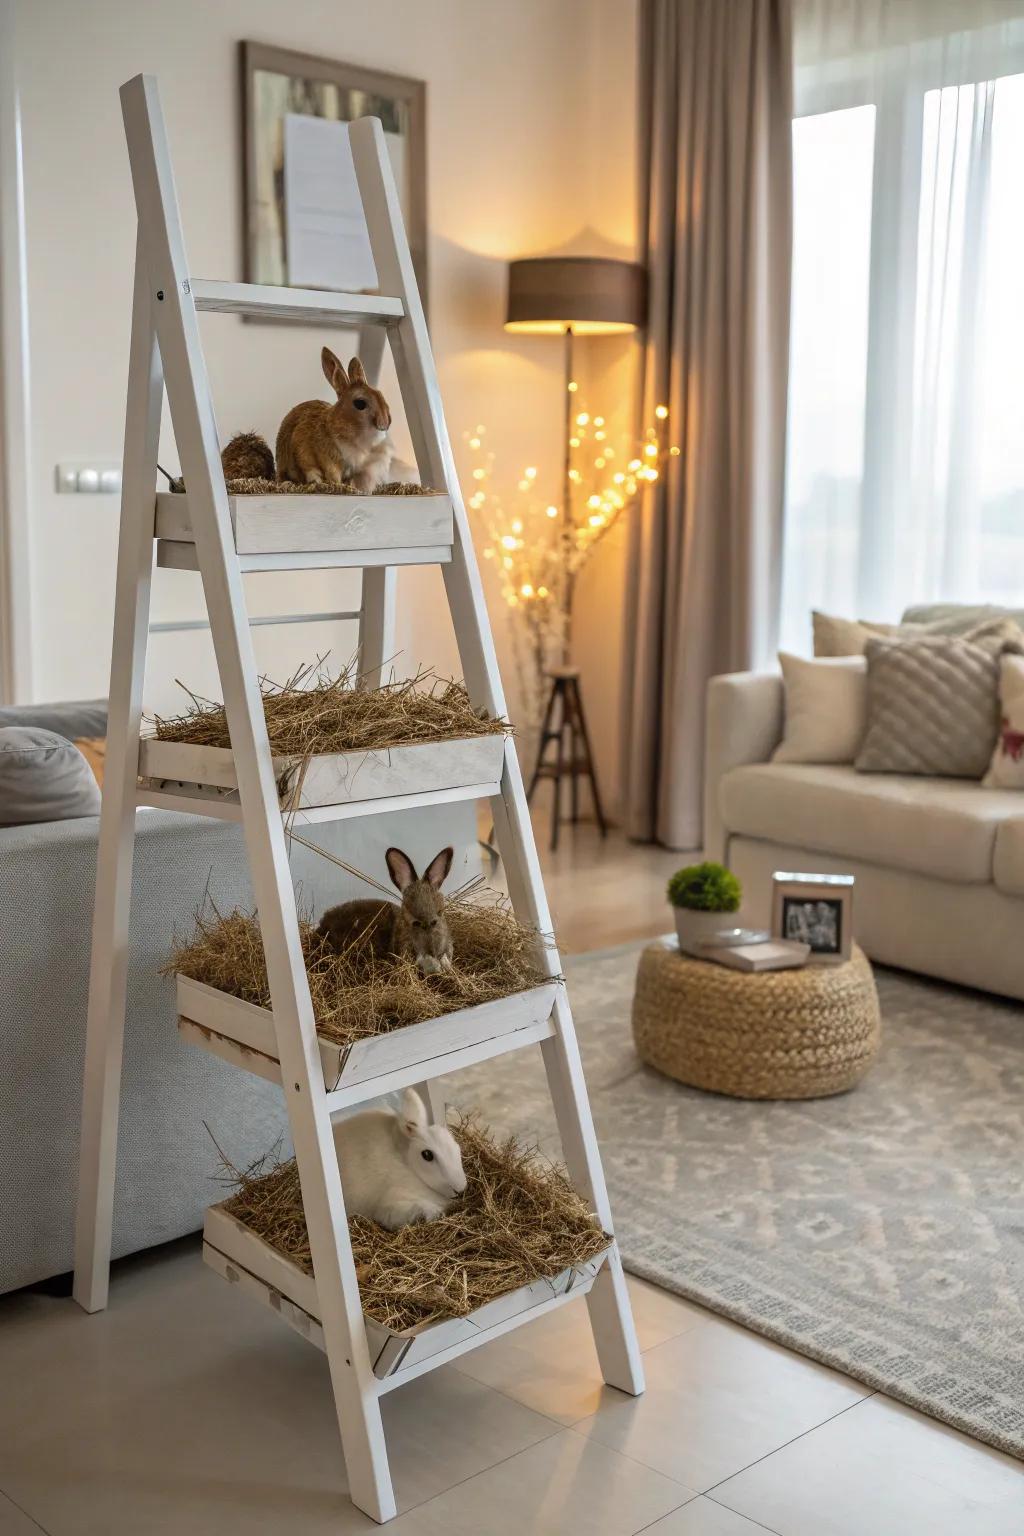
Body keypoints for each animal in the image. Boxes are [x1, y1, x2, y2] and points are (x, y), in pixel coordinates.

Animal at [274, 348, 396, 491]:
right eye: (360, 404)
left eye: (380, 394)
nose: (386, 422)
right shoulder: (326, 459)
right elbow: (332, 474)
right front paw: (338, 486)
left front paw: (351, 487)